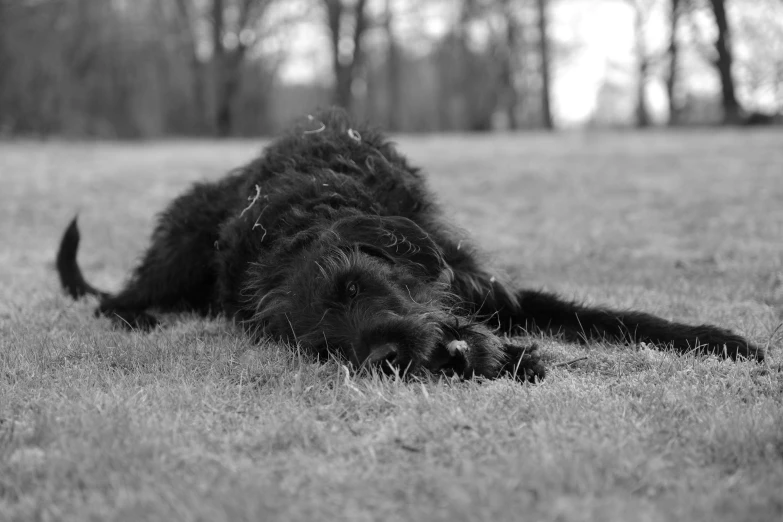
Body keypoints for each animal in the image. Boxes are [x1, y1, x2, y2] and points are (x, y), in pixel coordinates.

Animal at [55, 108, 764, 378]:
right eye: (321, 347)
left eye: (354, 284)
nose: (385, 358)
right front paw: (507, 360)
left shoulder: (489, 287)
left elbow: (610, 317)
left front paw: (723, 341)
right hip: (177, 257)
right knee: (113, 299)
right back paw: (140, 317)